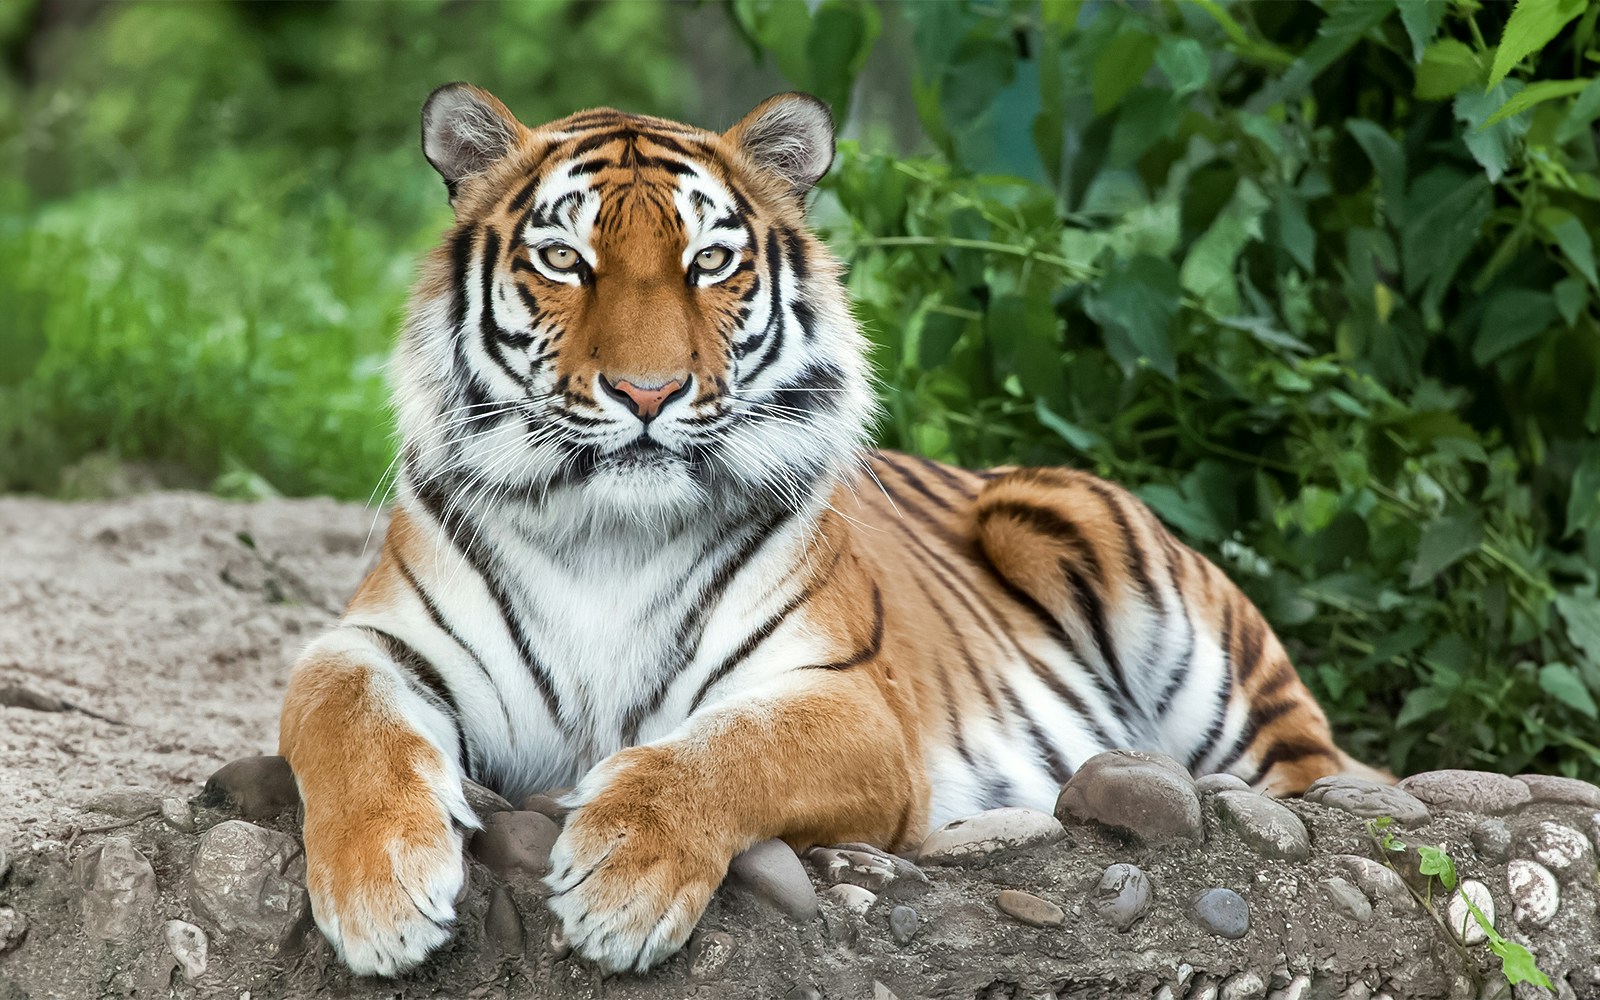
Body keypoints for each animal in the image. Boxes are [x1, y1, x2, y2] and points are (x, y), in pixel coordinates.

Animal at [277, 83, 1382, 978]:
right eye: (563, 259)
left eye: (710, 262)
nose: (647, 393)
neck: (607, 536)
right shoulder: (376, 643)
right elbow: (344, 717)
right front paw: (382, 895)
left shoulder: (849, 702)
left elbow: (723, 752)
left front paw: (620, 879)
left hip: (1116, 571)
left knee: (1321, 774)